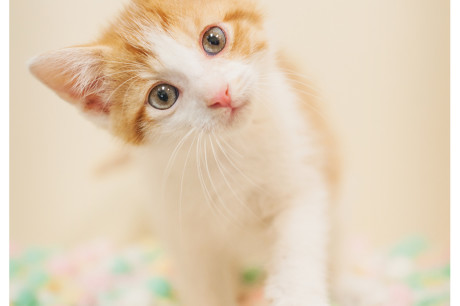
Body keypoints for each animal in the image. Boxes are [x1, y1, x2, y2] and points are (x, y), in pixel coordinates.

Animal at [28, 0, 338, 306]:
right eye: (162, 96)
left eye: (214, 39)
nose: (221, 93)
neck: (225, 149)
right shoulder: (186, 236)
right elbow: (205, 289)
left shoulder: (300, 178)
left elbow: (298, 244)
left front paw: (297, 293)